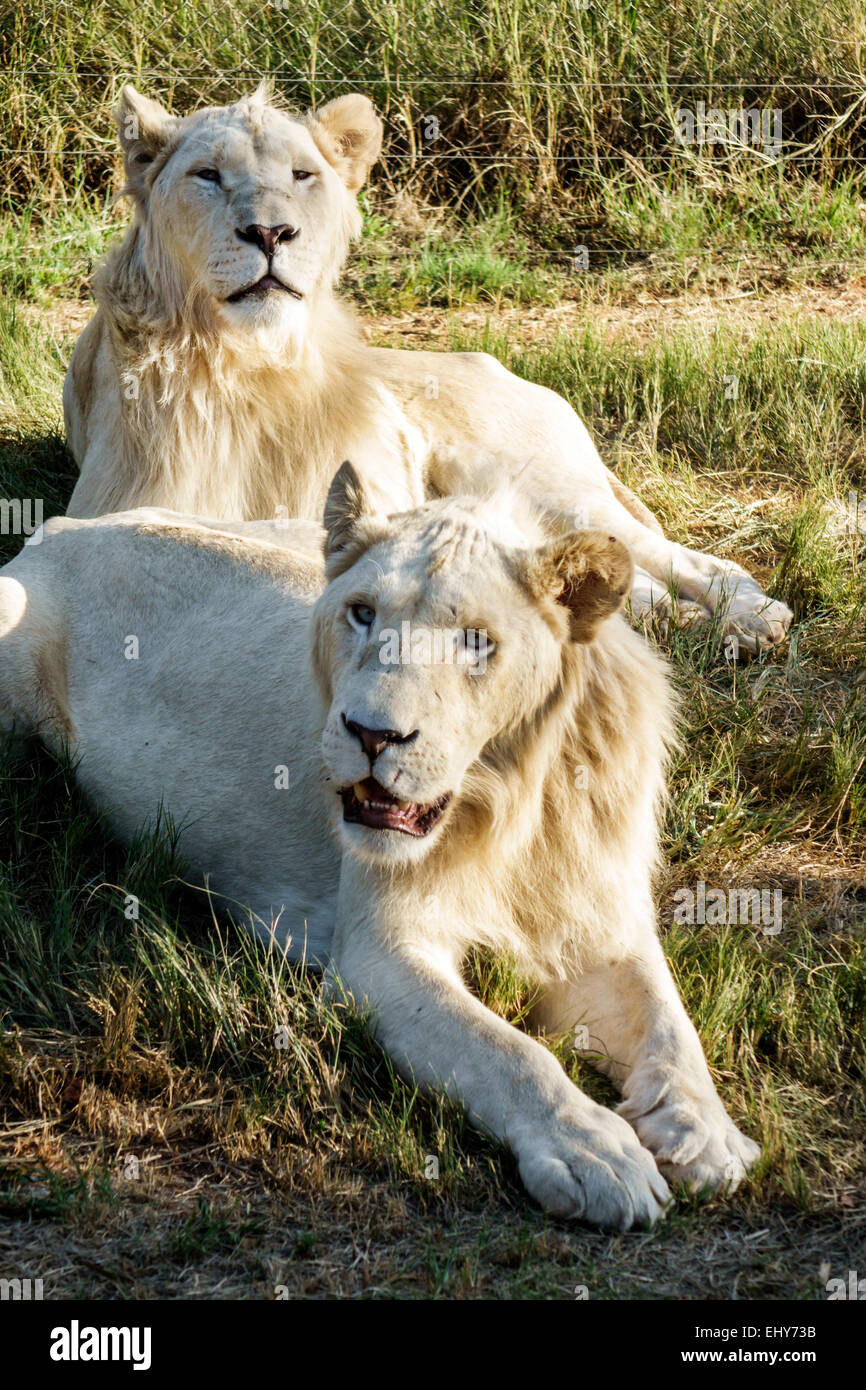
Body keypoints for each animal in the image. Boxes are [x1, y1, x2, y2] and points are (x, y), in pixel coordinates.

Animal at [0, 467, 756, 1228]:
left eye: (476, 641)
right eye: (362, 614)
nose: (370, 734)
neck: (512, 803)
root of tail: (57, 530)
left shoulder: (602, 925)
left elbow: (669, 1021)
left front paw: (704, 1133)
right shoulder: (377, 958)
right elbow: (506, 1052)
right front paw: (595, 1152)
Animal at [62, 84, 795, 653]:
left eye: (302, 176)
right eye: (208, 176)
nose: (271, 233)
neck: (251, 364)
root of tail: (507, 370)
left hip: (546, 487)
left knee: (691, 561)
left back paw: (752, 620)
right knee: (620, 587)